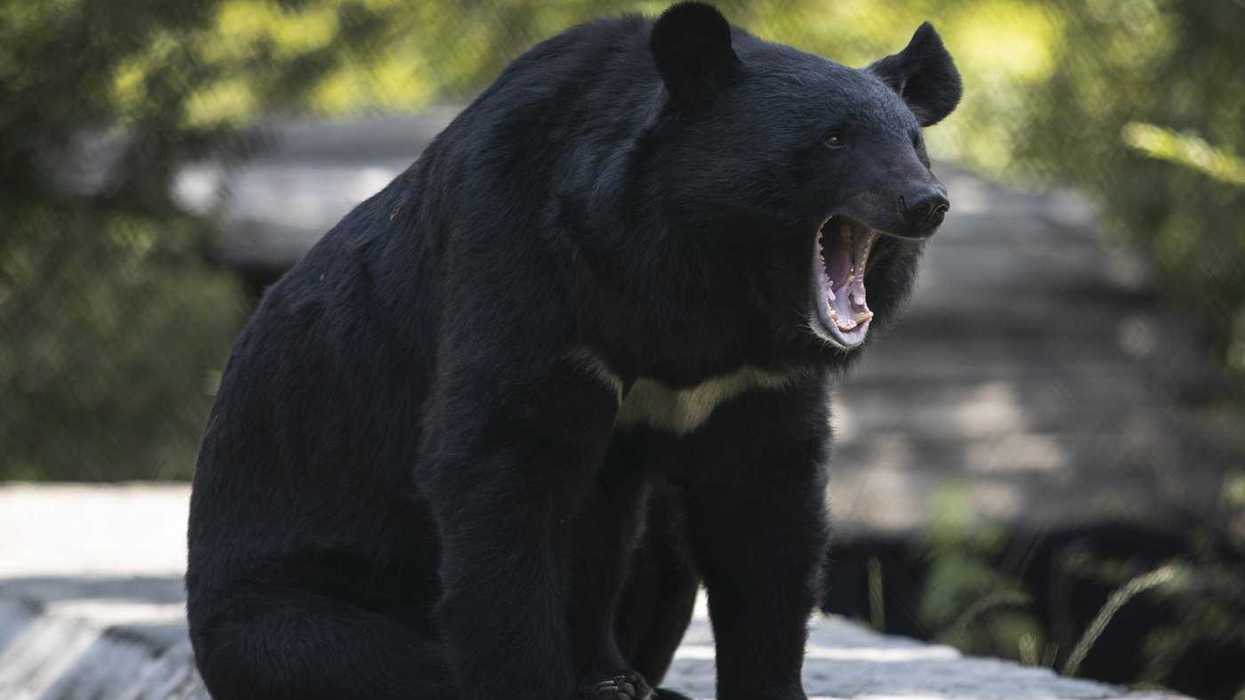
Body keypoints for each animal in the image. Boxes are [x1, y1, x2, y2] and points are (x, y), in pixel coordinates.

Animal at [185, 3, 960, 700]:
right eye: (833, 140)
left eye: (913, 144)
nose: (926, 203)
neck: (704, 285)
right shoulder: (526, 268)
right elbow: (502, 467)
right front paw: (541, 682)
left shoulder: (752, 380)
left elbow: (764, 508)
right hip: (278, 598)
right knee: (349, 655)